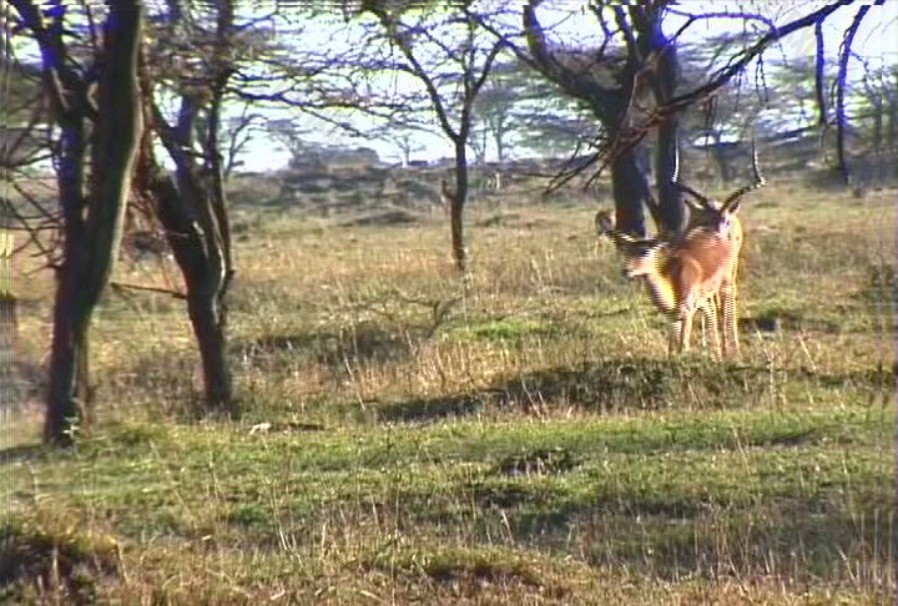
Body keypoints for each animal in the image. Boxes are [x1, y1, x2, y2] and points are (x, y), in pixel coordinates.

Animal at [596, 211, 728, 358]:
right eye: (627, 251)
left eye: (645, 251)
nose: (625, 271)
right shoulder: (671, 316)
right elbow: (671, 348)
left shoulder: (687, 313)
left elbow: (683, 346)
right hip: (703, 299)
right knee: (711, 312)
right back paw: (716, 353)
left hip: (724, 284)